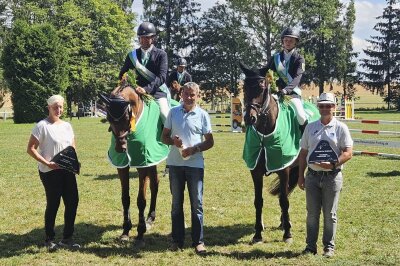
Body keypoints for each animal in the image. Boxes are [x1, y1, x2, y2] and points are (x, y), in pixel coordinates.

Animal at [100, 81, 169, 247]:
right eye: (109, 118)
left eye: (126, 117)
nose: (120, 148)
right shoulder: (122, 166)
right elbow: (125, 198)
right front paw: (125, 231)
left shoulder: (143, 163)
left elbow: (141, 200)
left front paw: (140, 232)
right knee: (155, 184)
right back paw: (149, 218)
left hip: (152, 160)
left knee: (154, 186)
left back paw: (149, 219)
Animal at [241, 63, 318, 244]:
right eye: (244, 88)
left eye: (262, 88)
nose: (249, 119)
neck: (265, 133)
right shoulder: (255, 172)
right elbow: (258, 201)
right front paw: (257, 234)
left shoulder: (284, 170)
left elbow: (284, 200)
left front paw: (288, 234)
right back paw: (283, 222)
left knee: (286, 195)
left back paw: (285, 224)